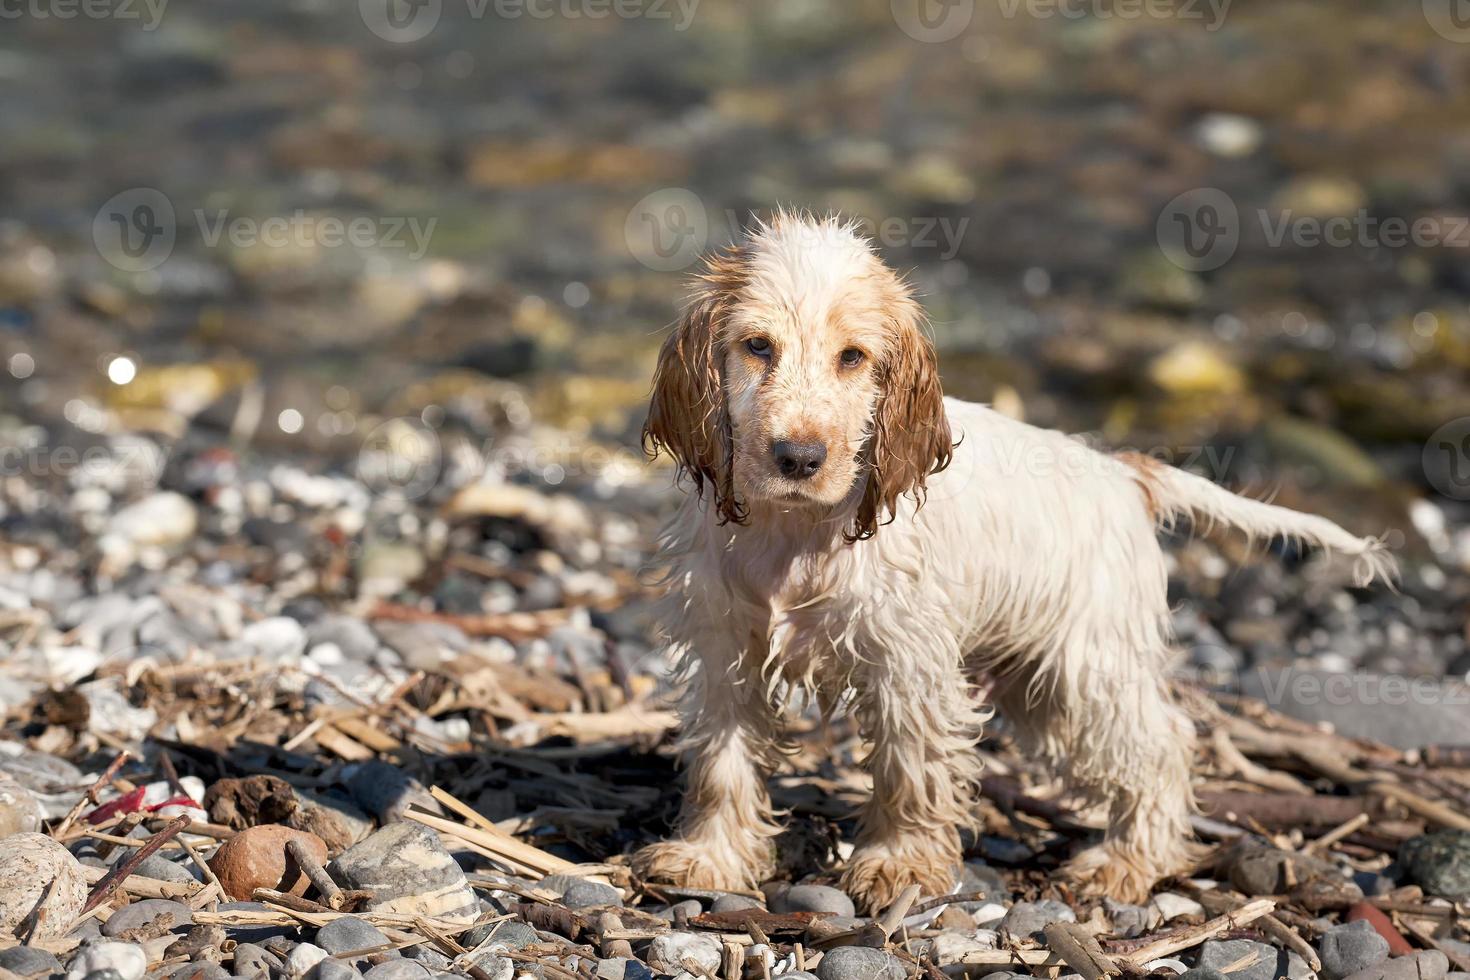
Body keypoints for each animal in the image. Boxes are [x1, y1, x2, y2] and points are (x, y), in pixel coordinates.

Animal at [629, 208, 1387, 910]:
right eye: (757, 346)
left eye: (853, 358)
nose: (798, 457)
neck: (795, 533)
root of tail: (1126, 474)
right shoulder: (724, 647)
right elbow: (722, 762)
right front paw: (709, 857)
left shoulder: (908, 663)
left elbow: (909, 768)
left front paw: (900, 865)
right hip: (1036, 679)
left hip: (1084, 665)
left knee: (1164, 745)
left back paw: (1126, 863)